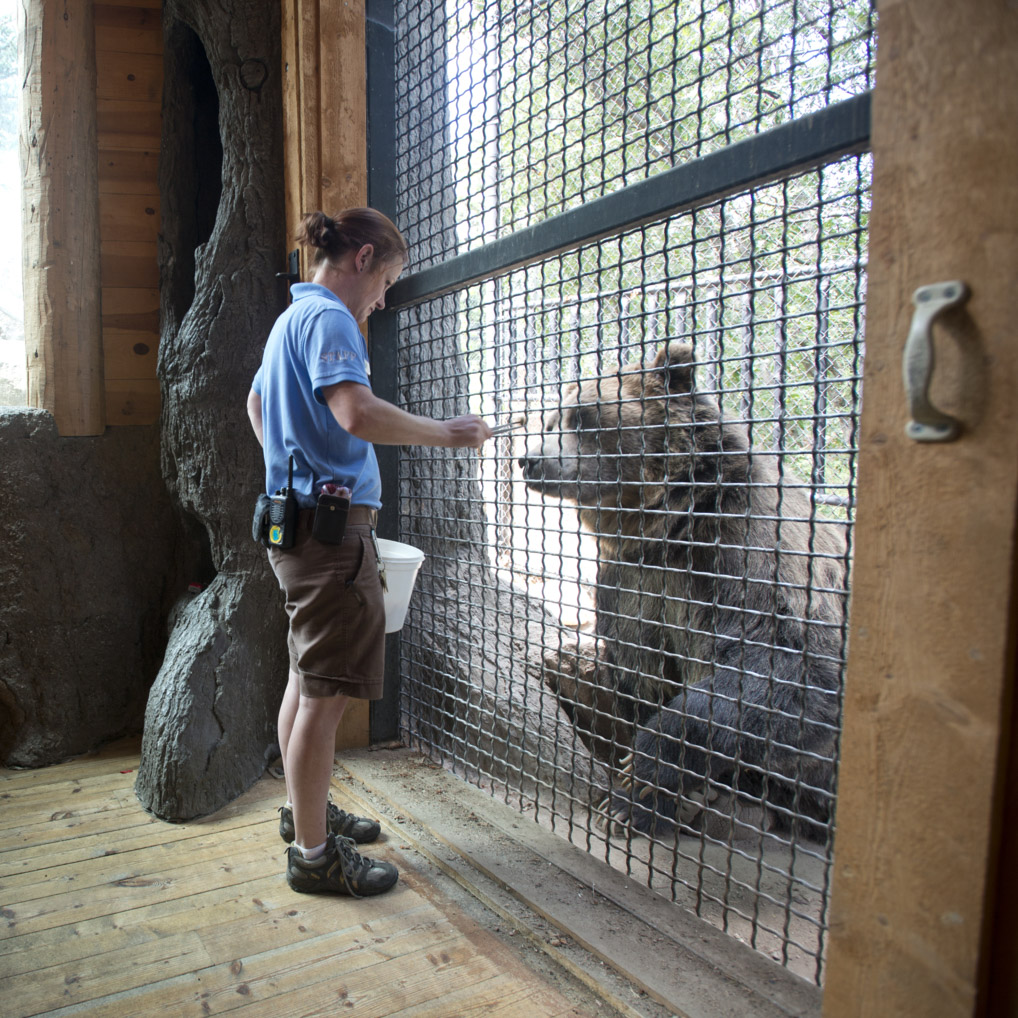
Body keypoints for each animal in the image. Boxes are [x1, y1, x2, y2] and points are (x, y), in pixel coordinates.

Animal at [521, 342, 846, 842]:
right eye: (553, 420)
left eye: (583, 416)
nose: (529, 459)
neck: (666, 522)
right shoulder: (630, 579)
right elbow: (642, 669)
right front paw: (628, 799)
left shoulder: (743, 547)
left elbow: (788, 660)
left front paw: (639, 781)